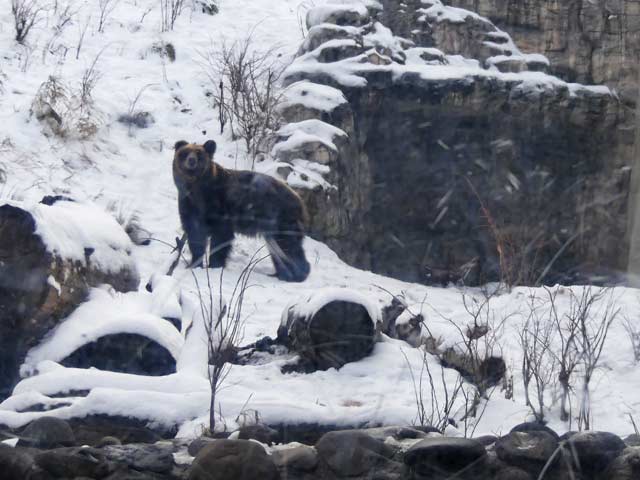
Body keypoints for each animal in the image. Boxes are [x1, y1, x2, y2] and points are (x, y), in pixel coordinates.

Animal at [170, 139, 310, 282]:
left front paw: (214, 264)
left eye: (199, 153)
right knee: (278, 248)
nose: (191, 160)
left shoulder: (220, 207)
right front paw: (194, 263)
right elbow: (195, 235)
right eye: (185, 152)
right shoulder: (189, 206)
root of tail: (300, 200)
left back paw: (296, 274)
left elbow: (220, 237)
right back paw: (280, 273)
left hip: (280, 219)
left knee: (287, 245)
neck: (197, 189)